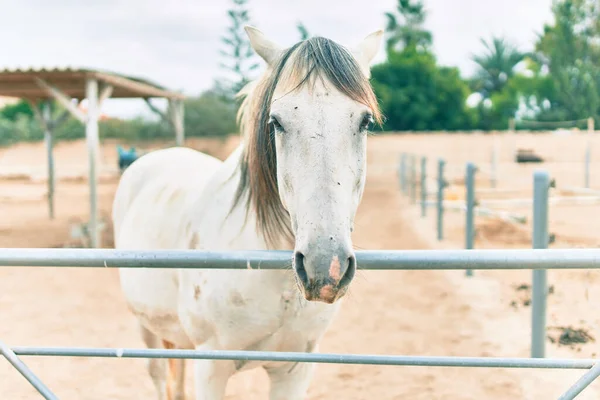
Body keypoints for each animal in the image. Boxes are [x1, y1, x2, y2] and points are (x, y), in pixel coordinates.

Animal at [112, 25, 382, 400]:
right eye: (277, 121)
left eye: (365, 121)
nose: (324, 266)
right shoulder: (211, 367)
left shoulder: (295, 370)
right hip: (147, 330)